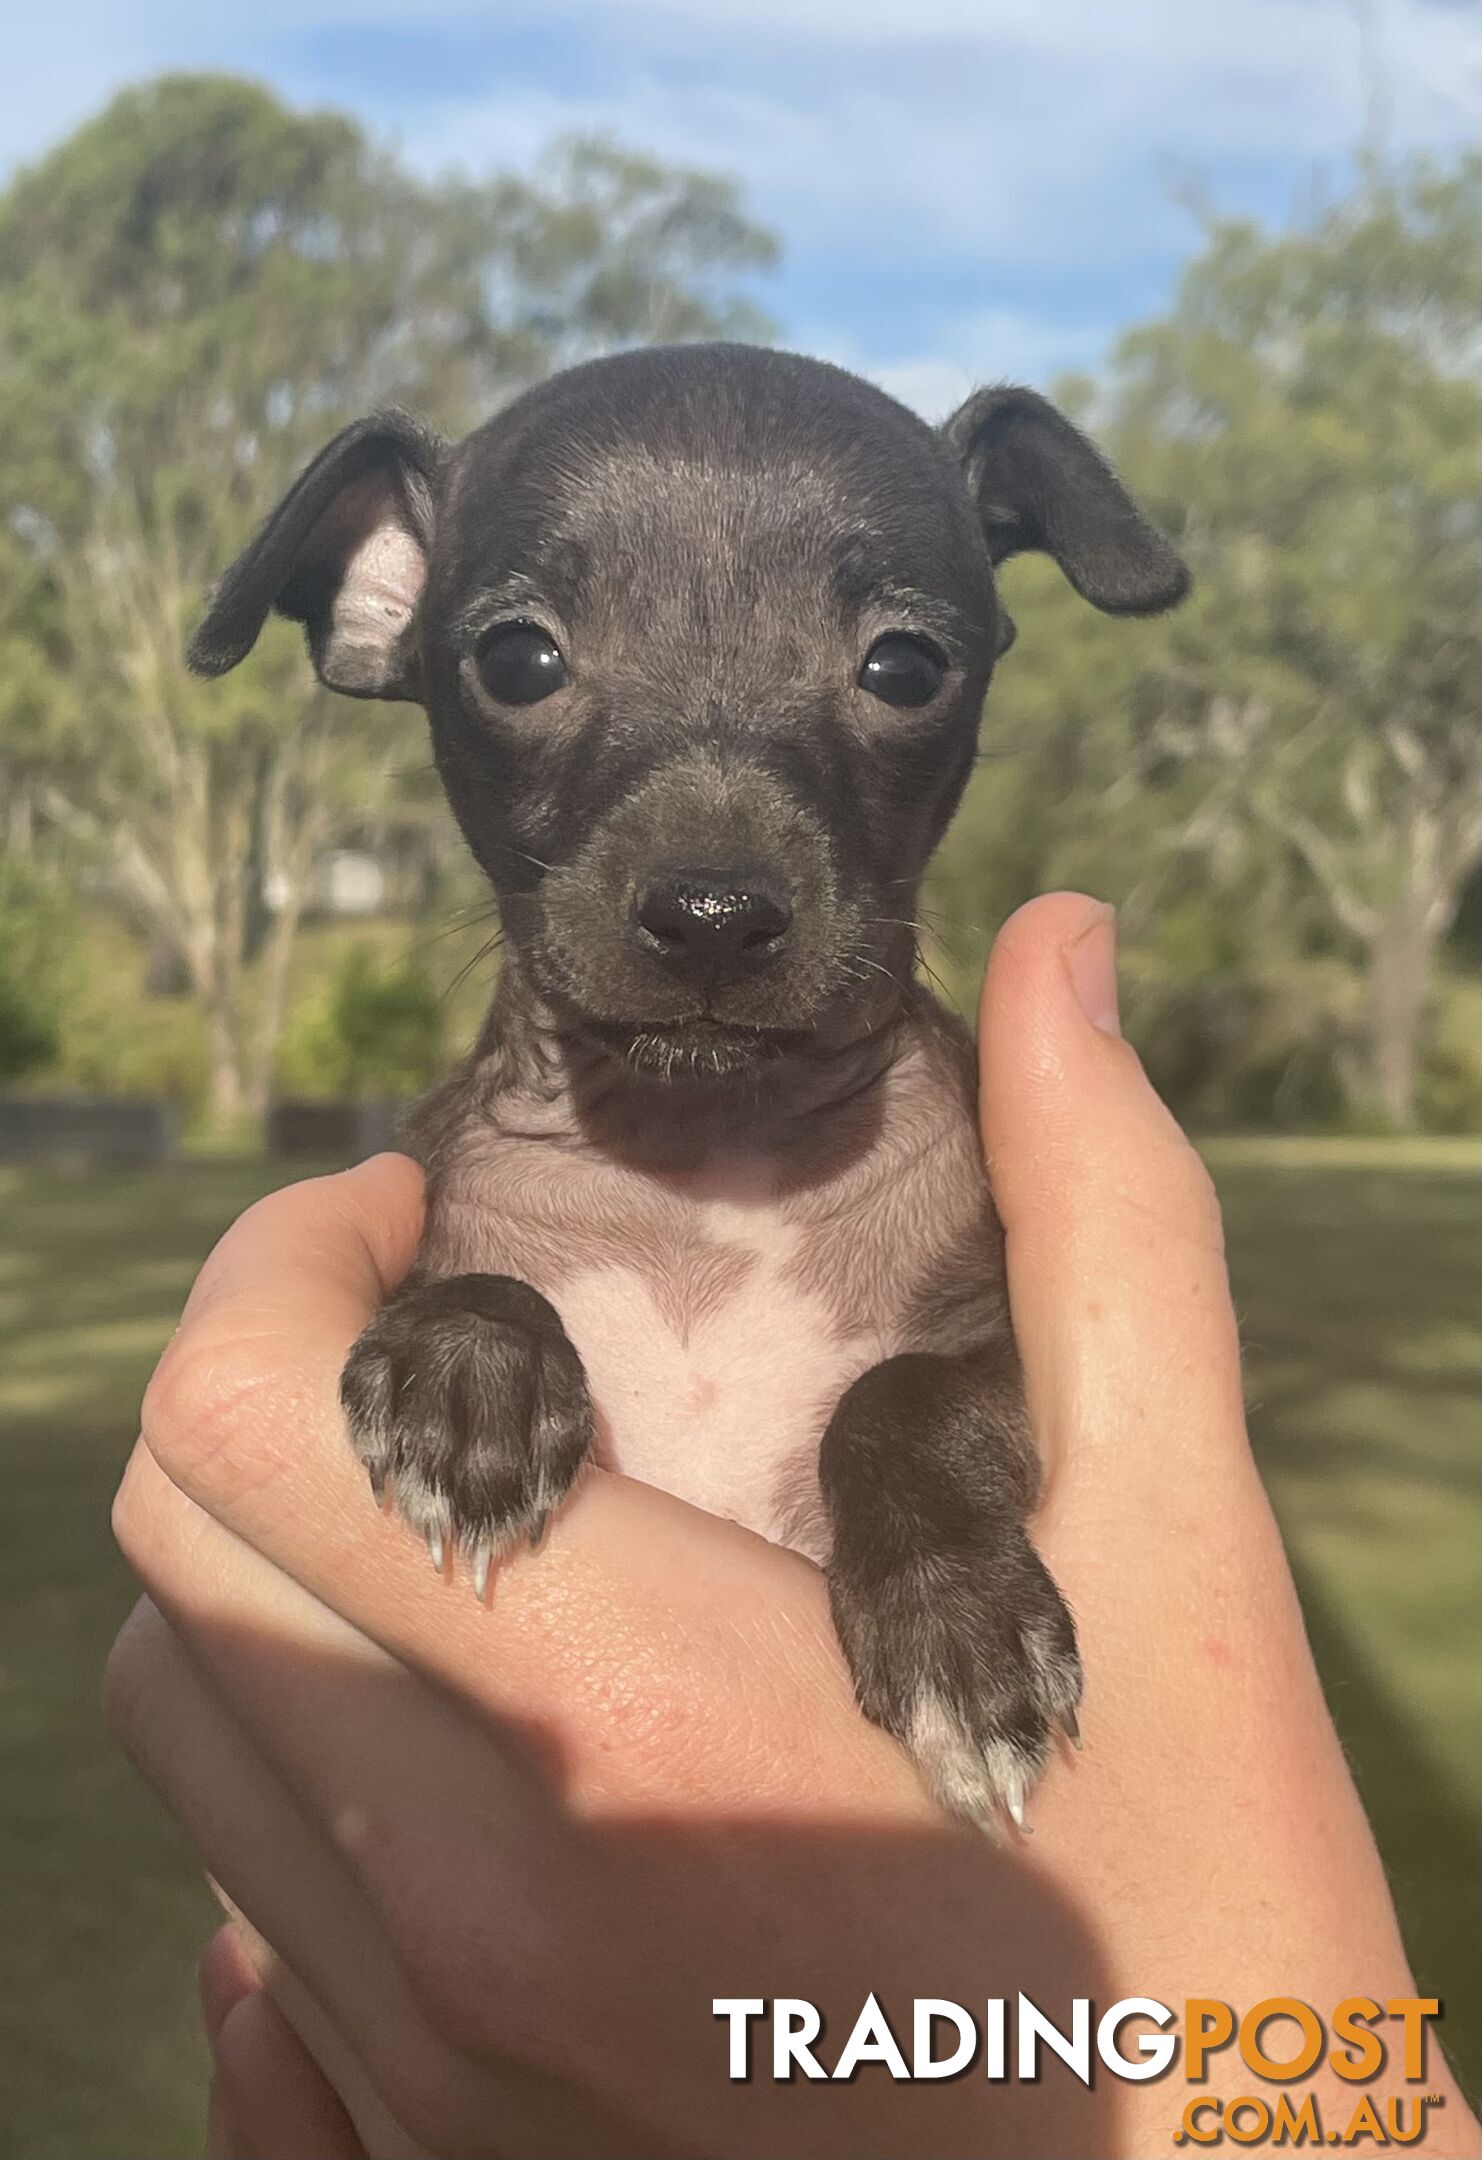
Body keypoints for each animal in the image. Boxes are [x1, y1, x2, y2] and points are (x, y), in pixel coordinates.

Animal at [191, 345, 1192, 1831]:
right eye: (516, 657)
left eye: (905, 665)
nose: (713, 913)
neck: (705, 1163)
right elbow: (456, 1274)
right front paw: (467, 1364)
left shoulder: (998, 1355)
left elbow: (901, 1399)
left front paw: (955, 1618)